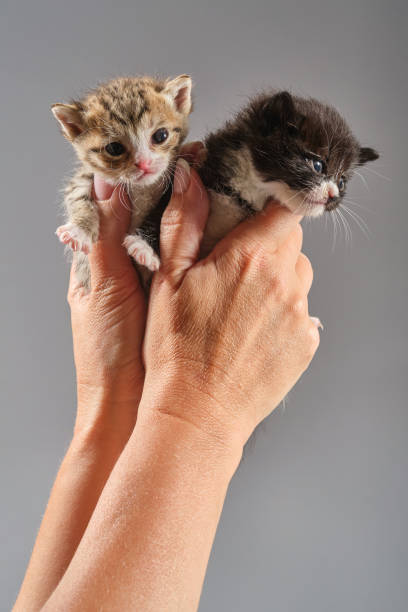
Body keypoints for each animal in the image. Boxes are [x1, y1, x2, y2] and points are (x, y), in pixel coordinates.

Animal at [52, 74, 193, 286]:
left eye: (161, 135)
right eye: (114, 148)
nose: (143, 163)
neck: (140, 189)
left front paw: (145, 247)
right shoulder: (86, 176)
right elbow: (77, 194)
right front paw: (80, 229)